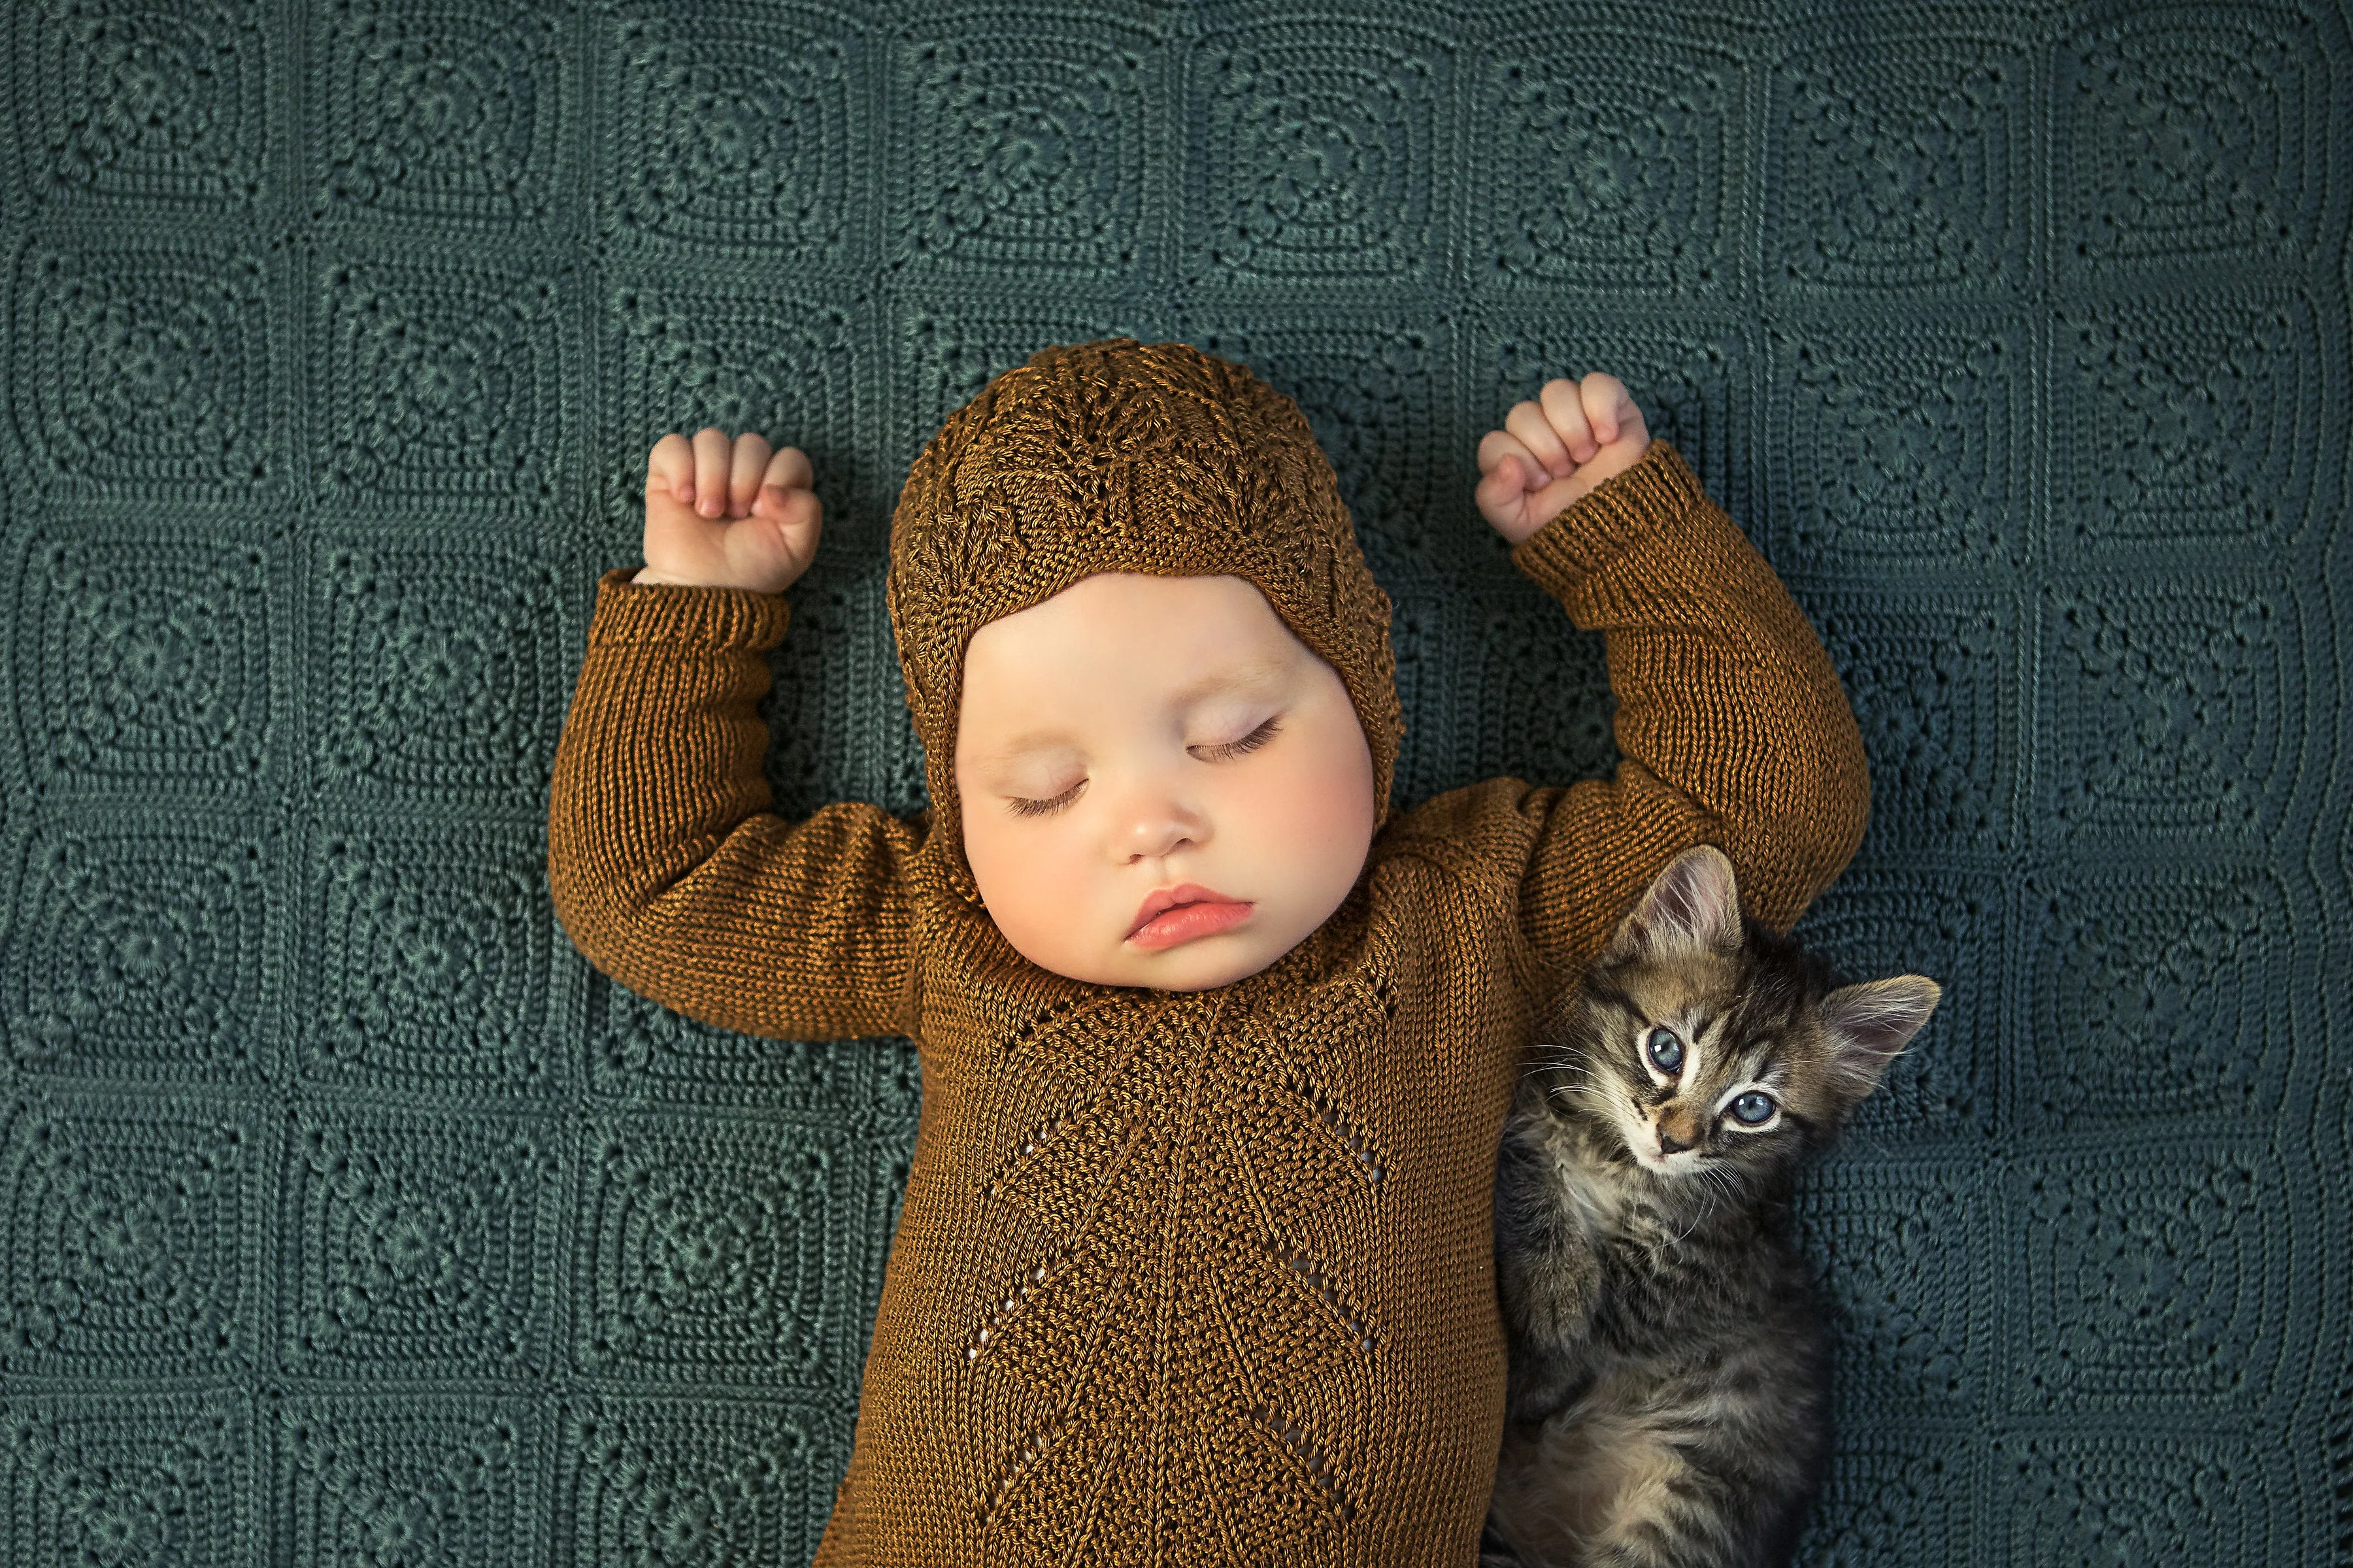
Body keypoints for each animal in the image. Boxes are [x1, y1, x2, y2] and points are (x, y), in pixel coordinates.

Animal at [1468, 842, 1948, 1563]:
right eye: (1665, 1049)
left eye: (1752, 1107)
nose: (1674, 1139)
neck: (1619, 1162)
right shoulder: (1530, 1114)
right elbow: (1537, 1181)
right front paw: (1555, 1289)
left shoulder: (1705, 1274)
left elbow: (1614, 1306)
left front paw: (1539, 1362)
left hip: (1678, 1517)